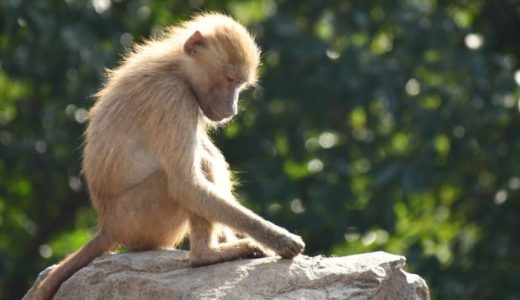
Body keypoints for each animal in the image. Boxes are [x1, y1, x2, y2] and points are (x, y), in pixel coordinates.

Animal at [35, 12, 304, 298]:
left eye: (240, 84)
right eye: (230, 79)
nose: (232, 109)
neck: (177, 68)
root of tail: (108, 226)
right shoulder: (174, 97)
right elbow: (186, 185)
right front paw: (281, 239)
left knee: (207, 159)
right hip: (141, 218)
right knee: (189, 175)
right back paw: (205, 255)